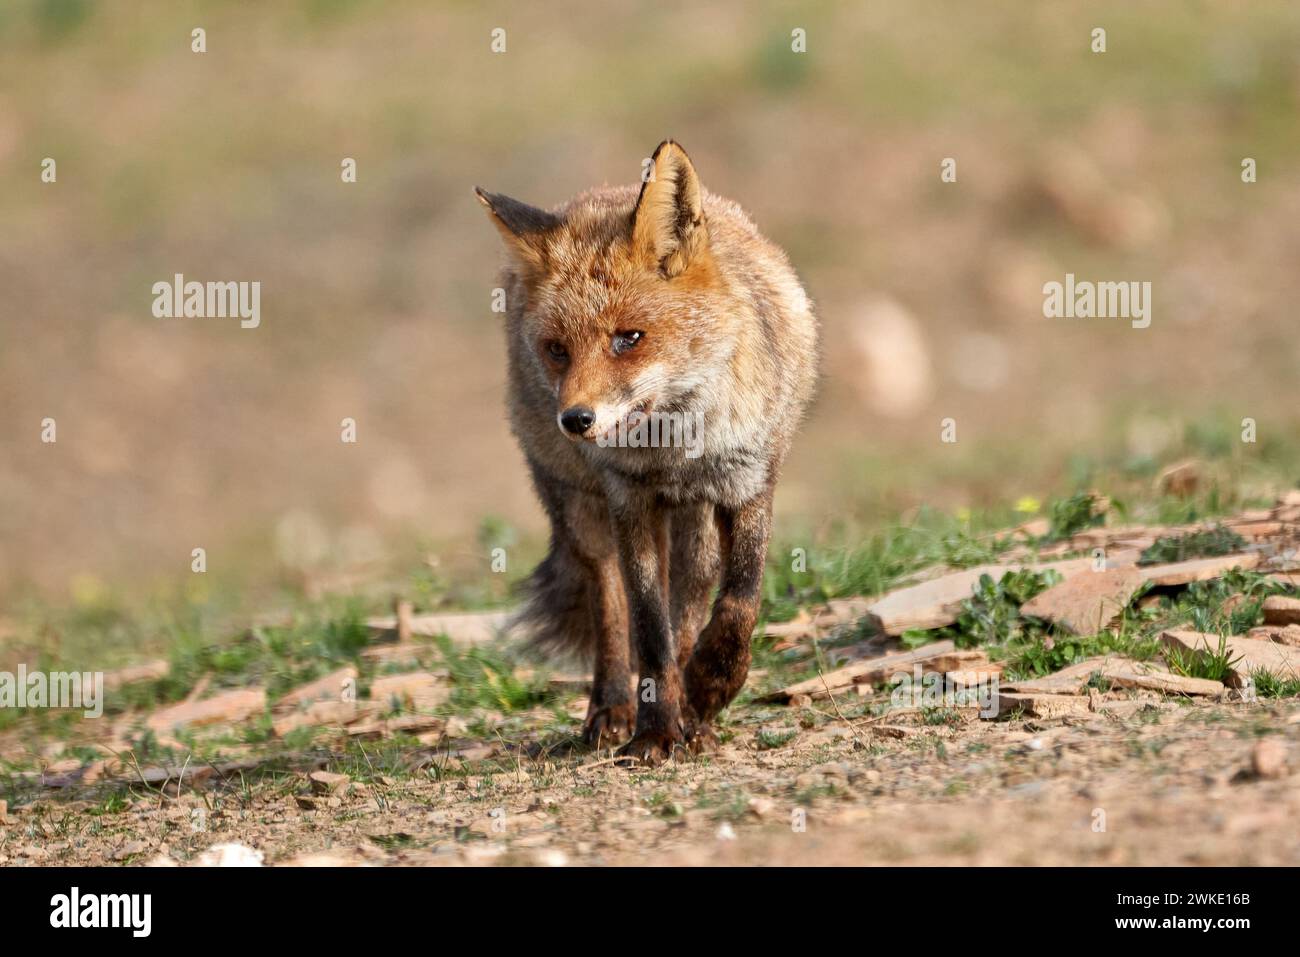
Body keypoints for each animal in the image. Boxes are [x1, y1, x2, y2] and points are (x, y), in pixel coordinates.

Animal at [478, 140, 816, 764]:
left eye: (628, 338)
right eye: (557, 350)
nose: (575, 420)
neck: (677, 451)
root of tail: (593, 195)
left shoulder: (749, 481)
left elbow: (739, 601)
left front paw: (709, 686)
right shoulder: (630, 501)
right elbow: (648, 629)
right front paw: (654, 731)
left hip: (695, 522)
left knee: (696, 590)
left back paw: (693, 710)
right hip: (581, 508)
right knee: (609, 603)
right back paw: (614, 709)